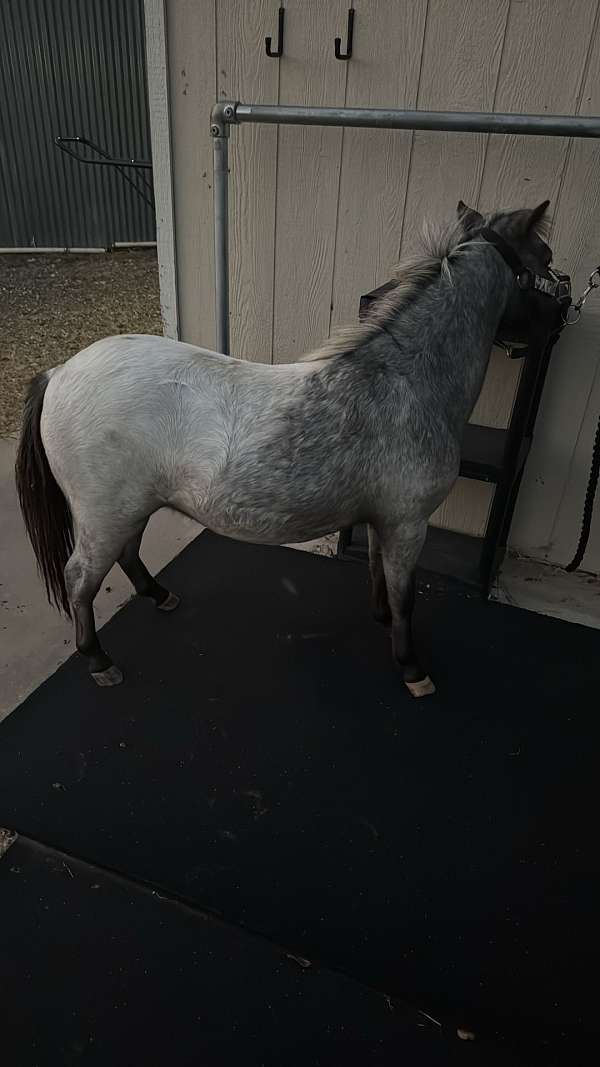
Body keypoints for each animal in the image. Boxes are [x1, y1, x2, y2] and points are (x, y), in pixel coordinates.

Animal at [16, 200, 559, 696]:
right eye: (544, 262)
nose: (560, 318)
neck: (405, 379)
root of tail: (60, 372)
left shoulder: (385, 519)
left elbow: (378, 572)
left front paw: (381, 618)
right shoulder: (410, 522)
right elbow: (407, 597)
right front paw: (412, 669)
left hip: (128, 508)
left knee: (126, 554)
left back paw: (160, 595)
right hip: (103, 514)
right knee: (80, 579)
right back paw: (99, 660)